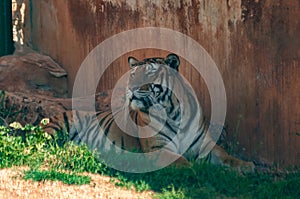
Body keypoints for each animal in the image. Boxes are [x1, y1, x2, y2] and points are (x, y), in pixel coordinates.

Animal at [42, 53, 255, 173]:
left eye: (150, 73)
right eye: (133, 74)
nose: (131, 88)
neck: (173, 112)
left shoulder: (203, 144)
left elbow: (225, 155)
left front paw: (246, 166)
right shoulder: (159, 149)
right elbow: (185, 163)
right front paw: (202, 173)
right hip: (62, 123)